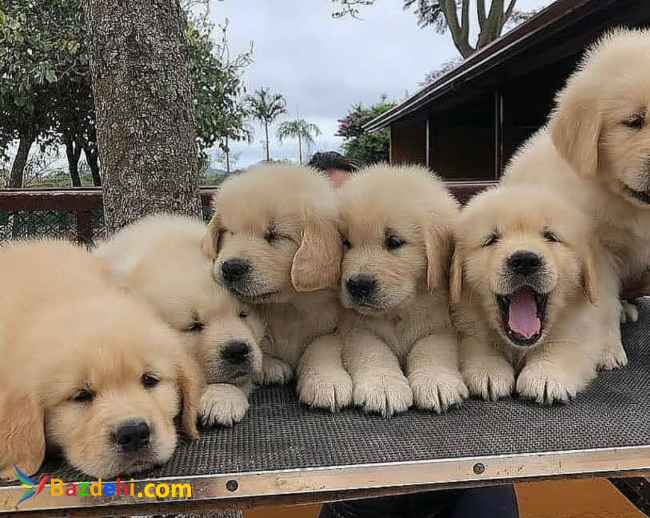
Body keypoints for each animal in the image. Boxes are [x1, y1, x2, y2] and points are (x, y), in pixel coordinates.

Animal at [202, 164, 353, 412]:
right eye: (230, 232)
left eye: (274, 235)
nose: (230, 268)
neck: (285, 307)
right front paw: (222, 394)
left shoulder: (331, 325)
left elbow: (321, 346)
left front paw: (326, 380)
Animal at [337, 164, 468, 416]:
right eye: (346, 243)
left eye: (394, 242)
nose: (358, 285)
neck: (399, 312)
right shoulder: (355, 328)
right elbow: (375, 352)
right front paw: (383, 387)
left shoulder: (442, 325)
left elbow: (430, 349)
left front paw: (436, 381)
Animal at [450, 186, 615, 404]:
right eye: (491, 239)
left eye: (550, 236)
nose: (524, 261)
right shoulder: (467, 322)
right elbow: (478, 343)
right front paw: (488, 369)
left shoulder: (581, 324)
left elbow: (563, 345)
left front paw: (545, 375)